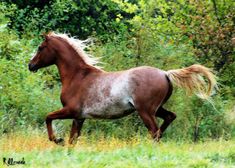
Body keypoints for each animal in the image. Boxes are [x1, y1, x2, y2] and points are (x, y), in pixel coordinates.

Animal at [27, 32, 217, 145]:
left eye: (40, 47)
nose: (30, 65)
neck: (77, 77)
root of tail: (165, 73)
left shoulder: (70, 110)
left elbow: (48, 117)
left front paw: (56, 139)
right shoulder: (79, 117)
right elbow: (72, 139)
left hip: (145, 111)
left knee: (154, 131)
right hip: (157, 109)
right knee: (168, 119)